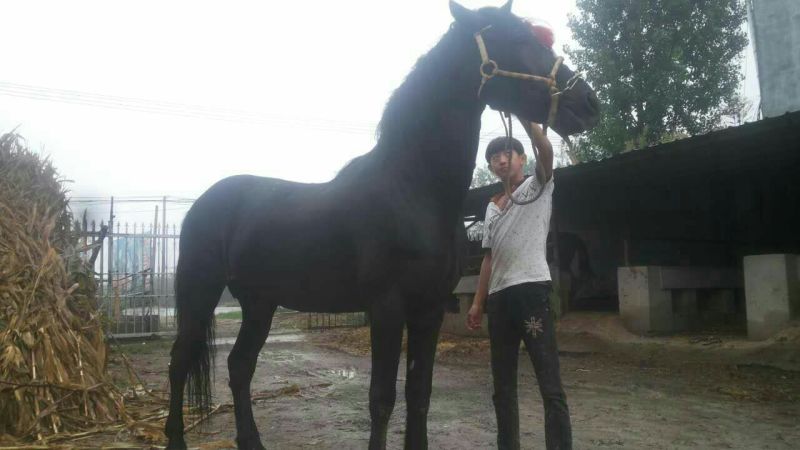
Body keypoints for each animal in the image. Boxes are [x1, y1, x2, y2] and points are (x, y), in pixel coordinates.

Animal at [164, 1, 599, 449]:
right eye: (517, 39)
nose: (588, 102)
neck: (413, 189)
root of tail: (204, 204)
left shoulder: (429, 308)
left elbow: (419, 393)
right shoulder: (387, 307)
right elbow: (381, 398)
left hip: (259, 302)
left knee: (239, 365)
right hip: (201, 291)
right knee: (180, 361)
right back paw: (176, 438)